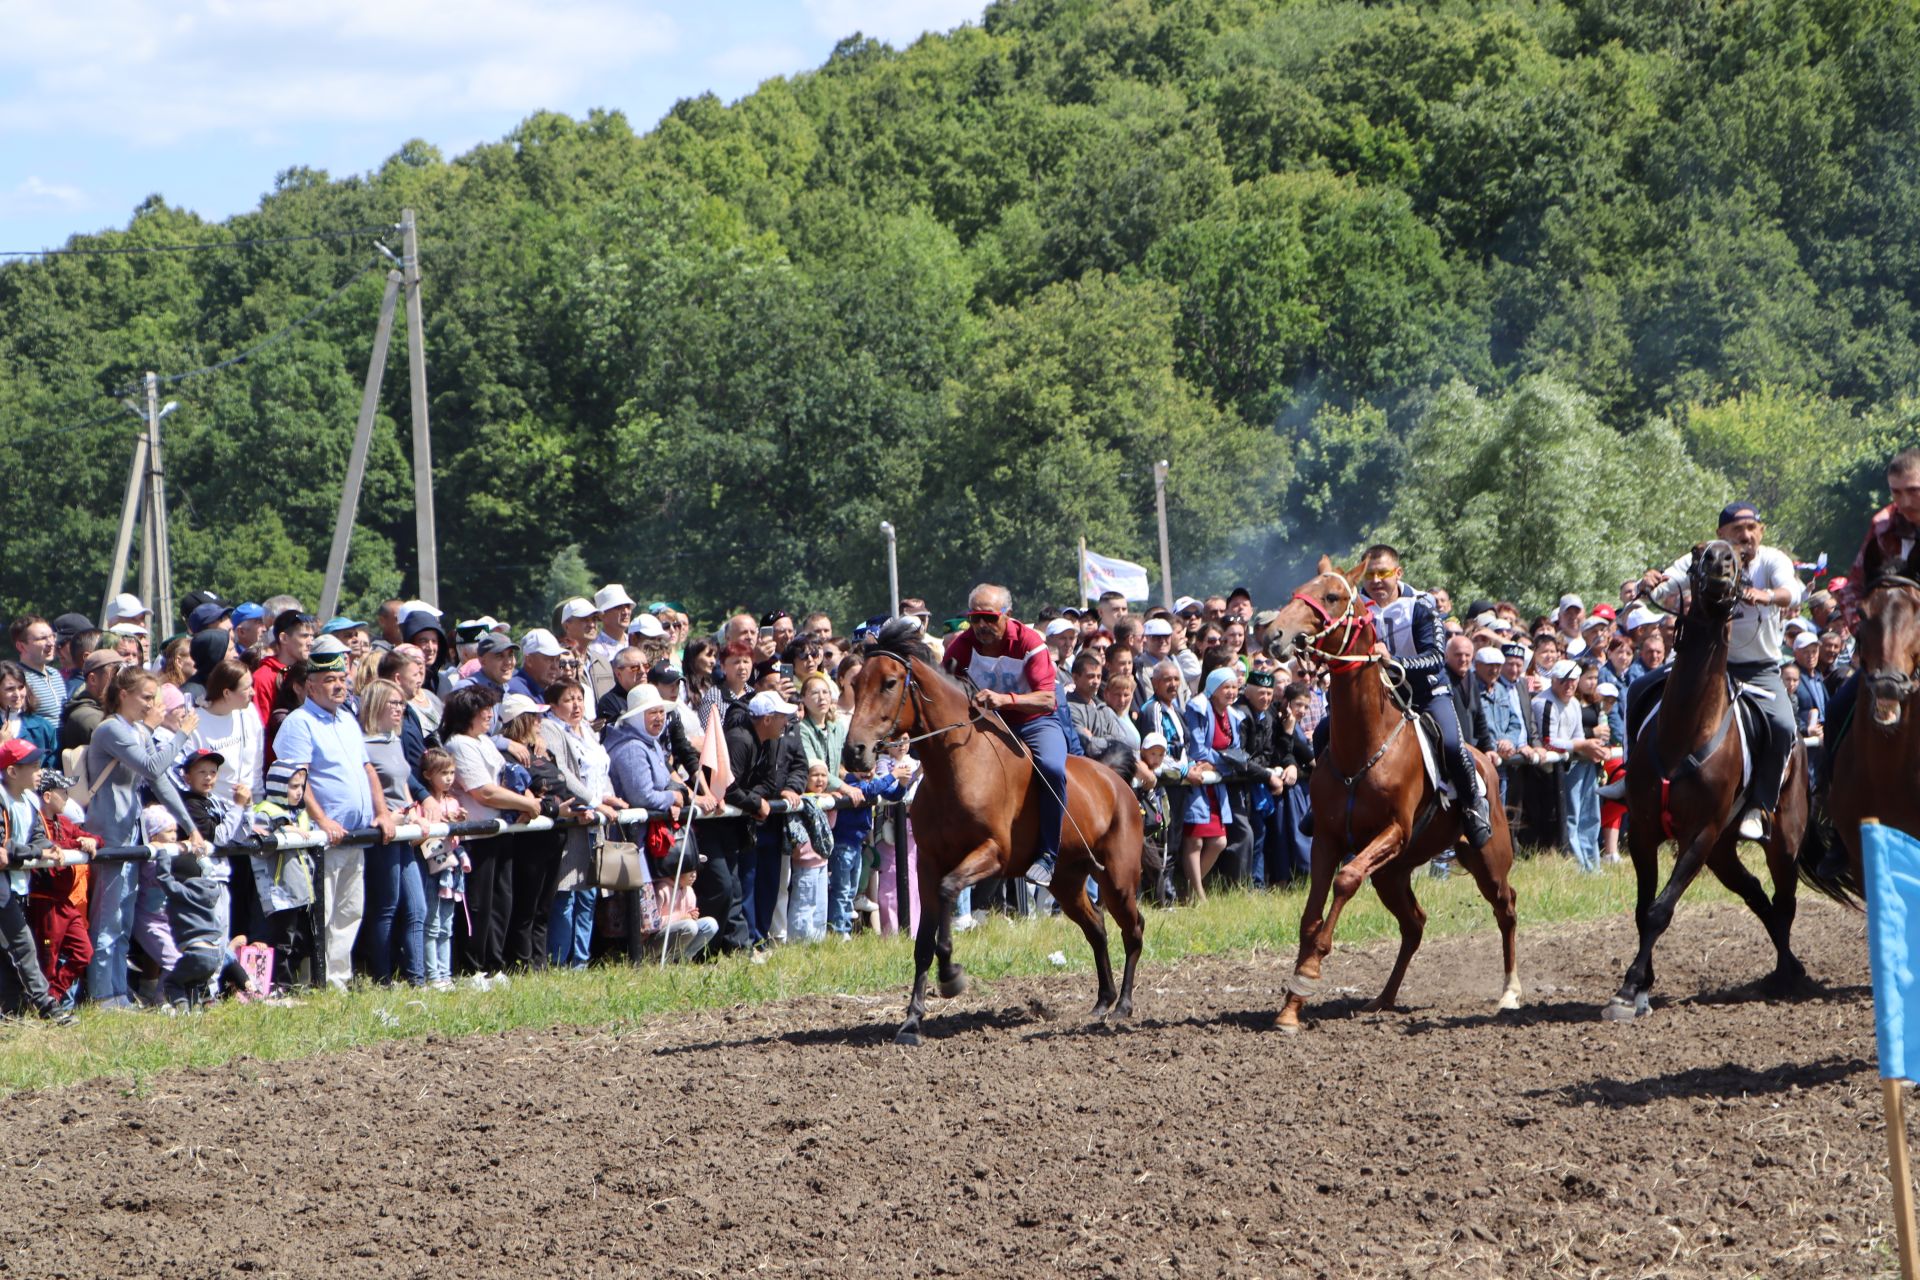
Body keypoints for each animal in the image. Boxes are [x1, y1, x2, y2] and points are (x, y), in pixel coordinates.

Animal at [840, 621, 1136, 1051]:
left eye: (890, 683)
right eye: (855, 683)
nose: (854, 752)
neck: (955, 766)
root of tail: (1116, 782)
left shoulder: (992, 855)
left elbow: (949, 893)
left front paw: (952, 976)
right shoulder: (927, 863)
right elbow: (922, 941)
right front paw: (911, 1021)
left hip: (1117, 879)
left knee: (1132, 931)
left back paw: (1123, 1005)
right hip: (1067, 882)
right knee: (1097, 927)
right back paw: (1102, 1001)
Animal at [1267, 556, 1520, 1028]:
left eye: (1332, 596)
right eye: (1298, 590)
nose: (1274, 634)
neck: (1364, 748)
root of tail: (1485, 762)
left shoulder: (1393, 833)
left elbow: (1346, 881)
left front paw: (1308, 976)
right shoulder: (1327, 839)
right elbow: (1310, 918)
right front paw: (1291, 1006)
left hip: (1487, 859)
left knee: (1506, 907)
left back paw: (1509, 992)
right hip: (1392, 873)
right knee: (1414, 924)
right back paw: (1382, 1000)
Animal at [1605, 541, 1812, 1020]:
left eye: (1738, 556)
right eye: (1697, 552)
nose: (1719, 559)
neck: (1686, 732)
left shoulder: (1698, 835)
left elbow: (1660, 910)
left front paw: (1630, 987)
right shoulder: (1645, 831)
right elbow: (1643, 909)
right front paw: (1638, 988)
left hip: (1780, 840)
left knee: (1784, 902)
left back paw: (1788, 972)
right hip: (1722, 852)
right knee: (1757, 895)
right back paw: (1787, 969)